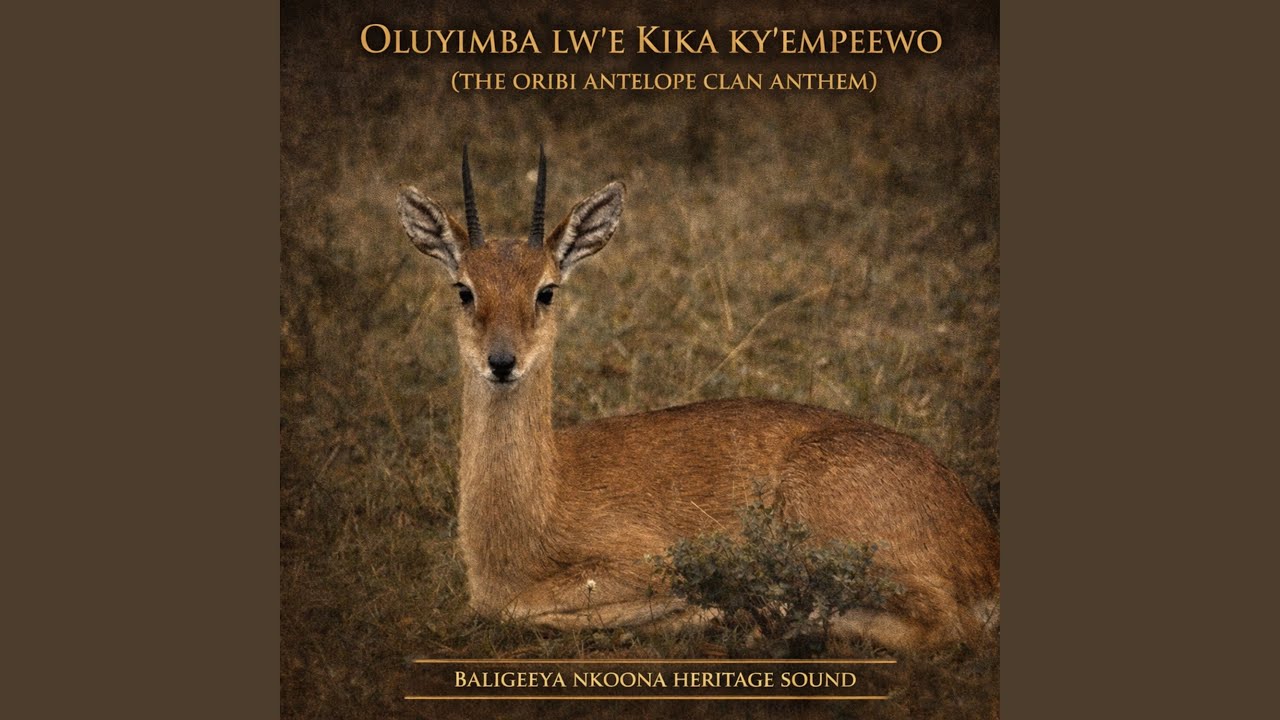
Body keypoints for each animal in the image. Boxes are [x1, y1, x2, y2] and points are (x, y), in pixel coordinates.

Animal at [397, 147, 999, 650]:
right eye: (464, 288)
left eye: (546, 290)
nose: (502, 362)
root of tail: (980, 545)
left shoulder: (643, 561)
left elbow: (525, 609)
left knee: (944, 624)